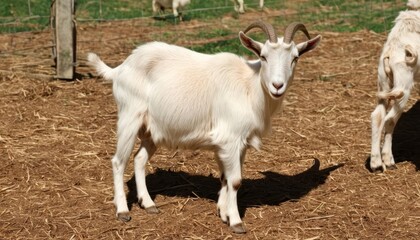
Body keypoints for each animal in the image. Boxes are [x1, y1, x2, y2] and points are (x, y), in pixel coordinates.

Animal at [370, 10, 420, 172]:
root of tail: (390, 52)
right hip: (403, 85)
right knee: (390, 118)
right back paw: (388, 160)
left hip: (383, 82)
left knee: (378, 116)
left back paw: (376, 163)